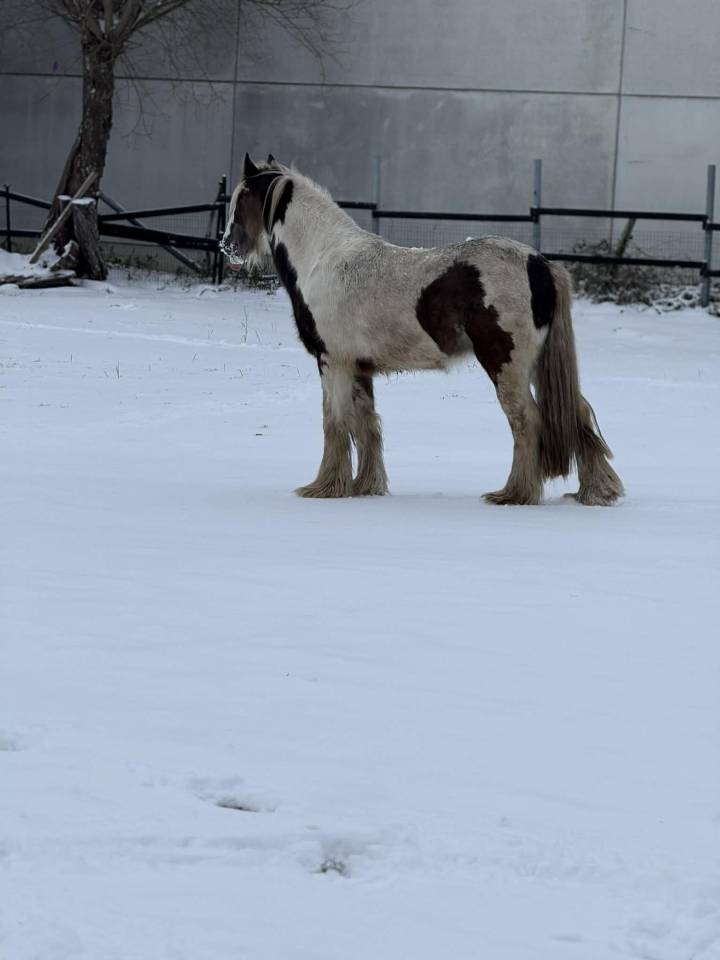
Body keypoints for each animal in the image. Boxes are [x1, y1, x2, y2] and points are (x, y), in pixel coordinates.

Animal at [220, 153, 624, 507]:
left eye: (242, 199)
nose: (226, 247)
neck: (326, 260)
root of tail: (539, 264)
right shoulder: (359, 368)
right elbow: (366, 426)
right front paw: (364, 487)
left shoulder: (332, 362)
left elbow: (334, 423)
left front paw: (325, 487)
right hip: (538, 366)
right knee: (576, 413)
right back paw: (596, 491)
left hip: (506, 366)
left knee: (527, 421)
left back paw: (514, 494)